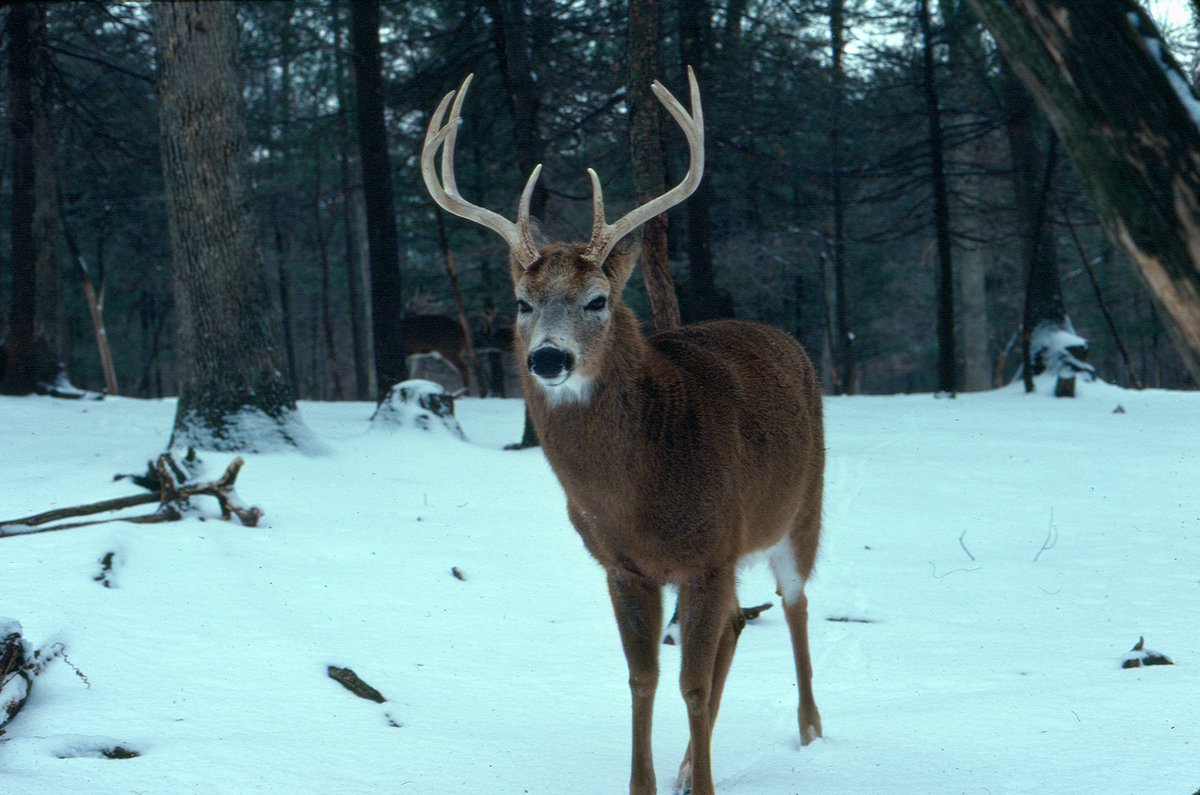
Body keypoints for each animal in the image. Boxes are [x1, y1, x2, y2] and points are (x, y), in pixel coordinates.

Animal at [422, 68, 824, 795]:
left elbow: (692, 685)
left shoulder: (710, 551)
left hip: (801, 510)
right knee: (737, 625)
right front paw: (650, 782)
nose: (548, 358)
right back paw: (693, 763)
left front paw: (706, 785)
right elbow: (643, 680)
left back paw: (810, 731)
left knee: (796, 605)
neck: (639, 495)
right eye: (523, 303)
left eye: (597, 301)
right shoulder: (623, 565)